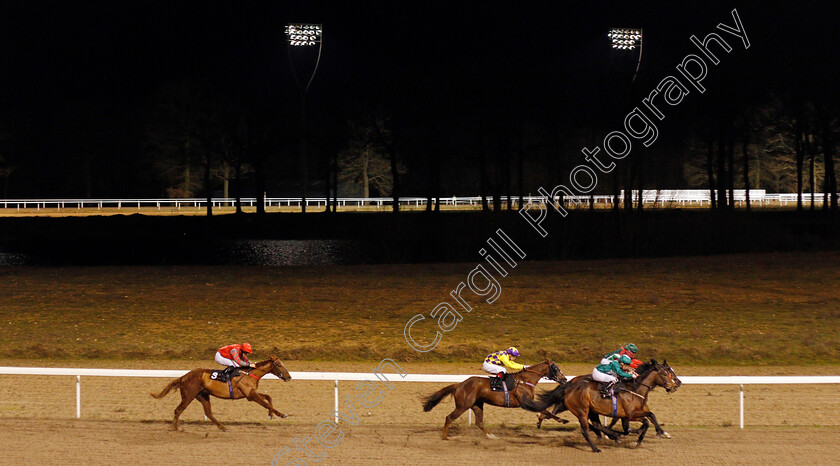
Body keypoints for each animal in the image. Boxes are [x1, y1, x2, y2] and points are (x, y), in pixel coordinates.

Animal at [150, 358, 292, 432]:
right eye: (279, 365)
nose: (289, 377)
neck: (249, 374)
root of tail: (183, 377)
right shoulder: (250, 396)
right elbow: (265, 403)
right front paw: (281, 414)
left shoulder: (251, 393)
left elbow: (268, 397)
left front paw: (271, 414)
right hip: (189, 395)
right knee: (178, 410)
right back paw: (176, 429)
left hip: (203, 395)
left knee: (208, 413)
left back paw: (223, 427)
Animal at [424, 360, 568, 440]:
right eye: (556, 368)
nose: (564, 379)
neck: (525, 381)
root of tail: (459, 384)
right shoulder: (525, 402)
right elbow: (545, 410)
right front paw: (562, 420)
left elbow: (544, 410)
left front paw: (541, 420)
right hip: (463, 406)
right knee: (449, 418)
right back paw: (445, 437)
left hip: (477, 405)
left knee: (479, 422)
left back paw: (491, 436)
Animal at [520, 360, 680, 452]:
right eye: (666, 373)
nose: (675, 385)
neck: (635, 389)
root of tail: (568, 386)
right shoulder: (631, 414)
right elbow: (649, 418)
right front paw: (656, 433)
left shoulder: (628, 415)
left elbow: (645, 421)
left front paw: (639, 438)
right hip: (582, 411)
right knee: (585, 429)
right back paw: (596, 447)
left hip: (591, 411)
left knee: (596, 425)